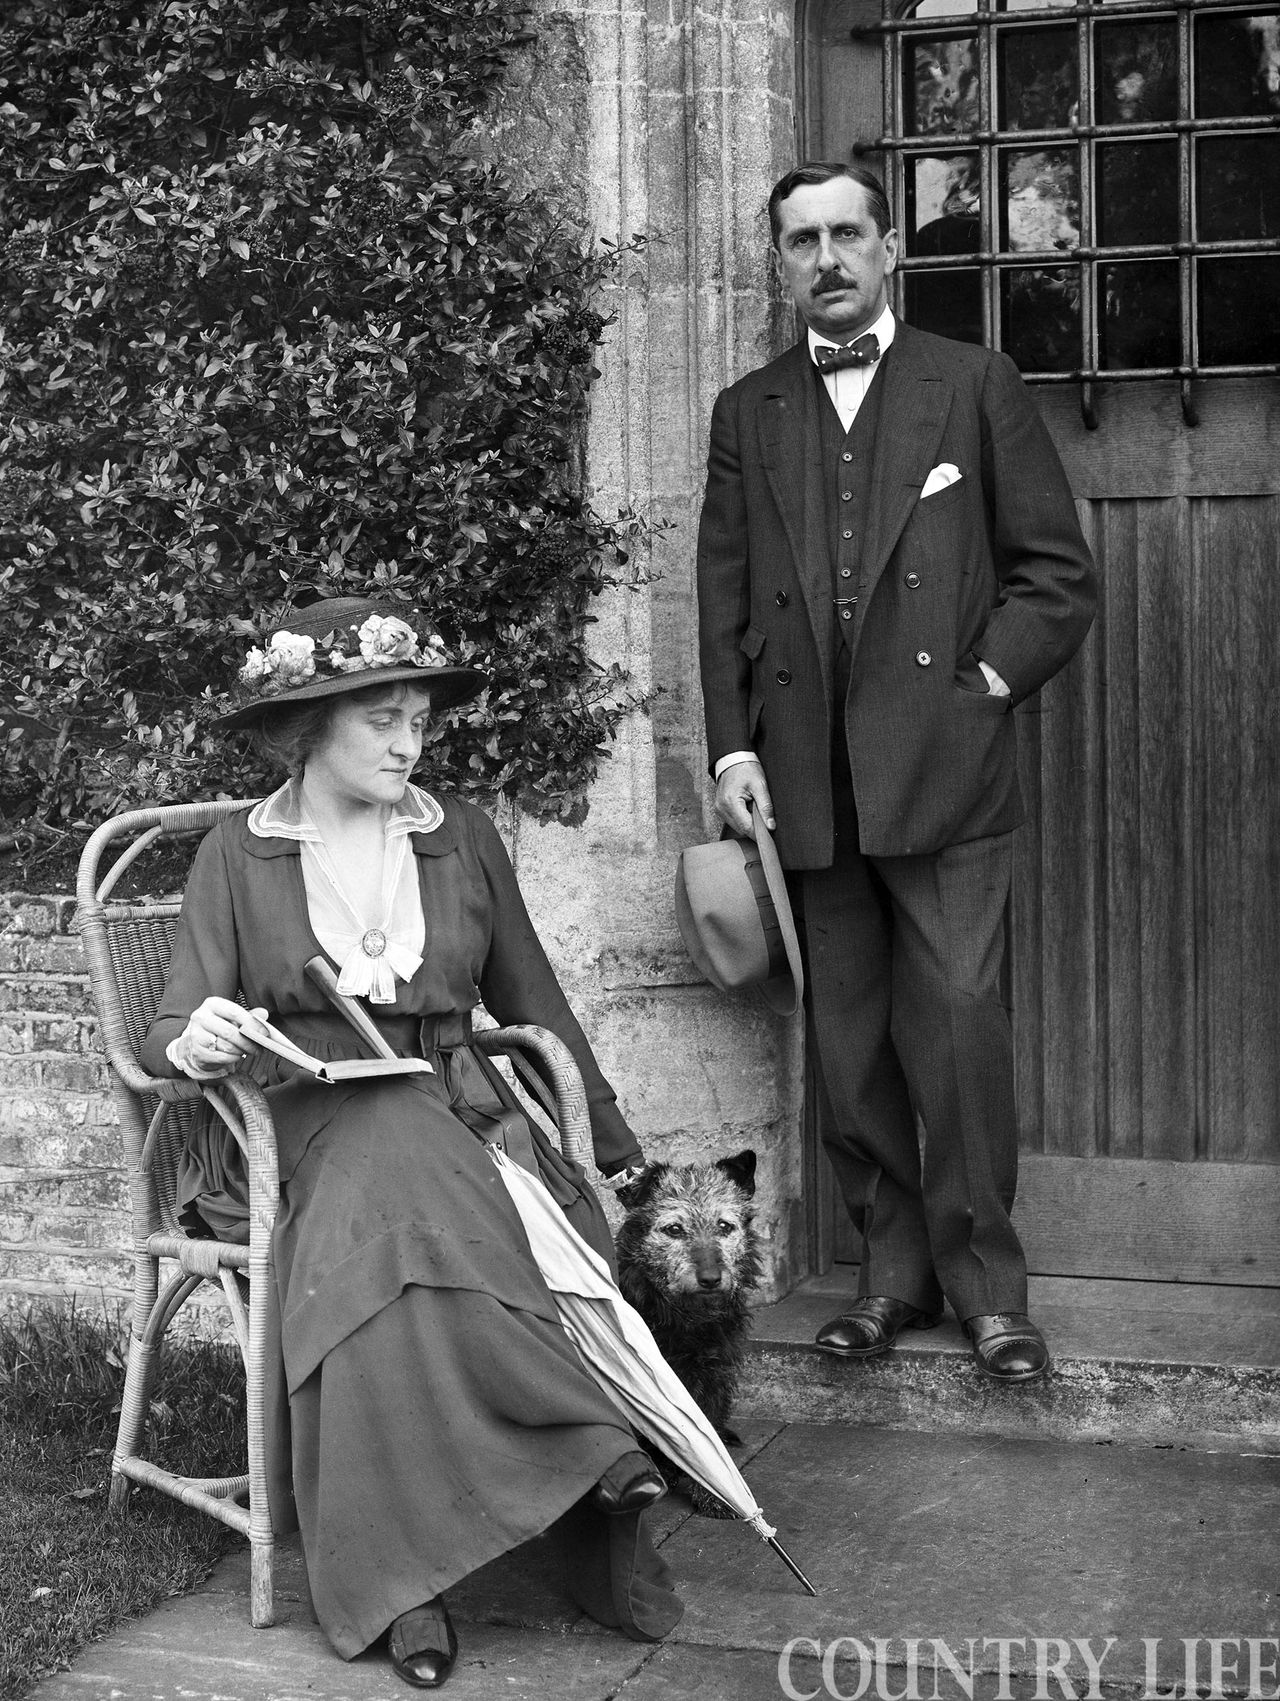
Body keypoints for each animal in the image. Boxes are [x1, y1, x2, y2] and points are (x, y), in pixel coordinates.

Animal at [612, 1149, 755, 1524]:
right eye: (674, 1229)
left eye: (725, 1226)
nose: (711, 1278)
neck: (681, 1319)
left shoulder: (712, 1374)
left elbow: (708, 1437)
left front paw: (716, 1494)